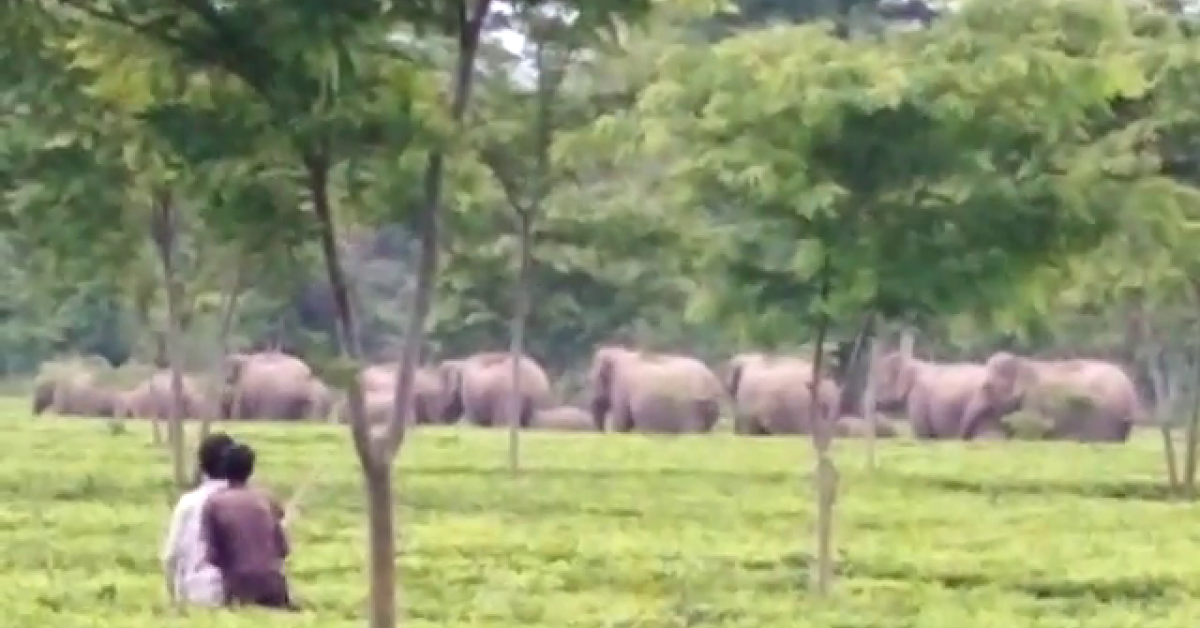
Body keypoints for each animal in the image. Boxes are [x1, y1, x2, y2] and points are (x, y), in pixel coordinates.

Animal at [589, 346, 724, 434]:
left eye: (594, 380)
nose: (602, 433)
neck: (620, 353)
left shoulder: (621, 386)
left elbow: (621, 423)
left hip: (689, 407)